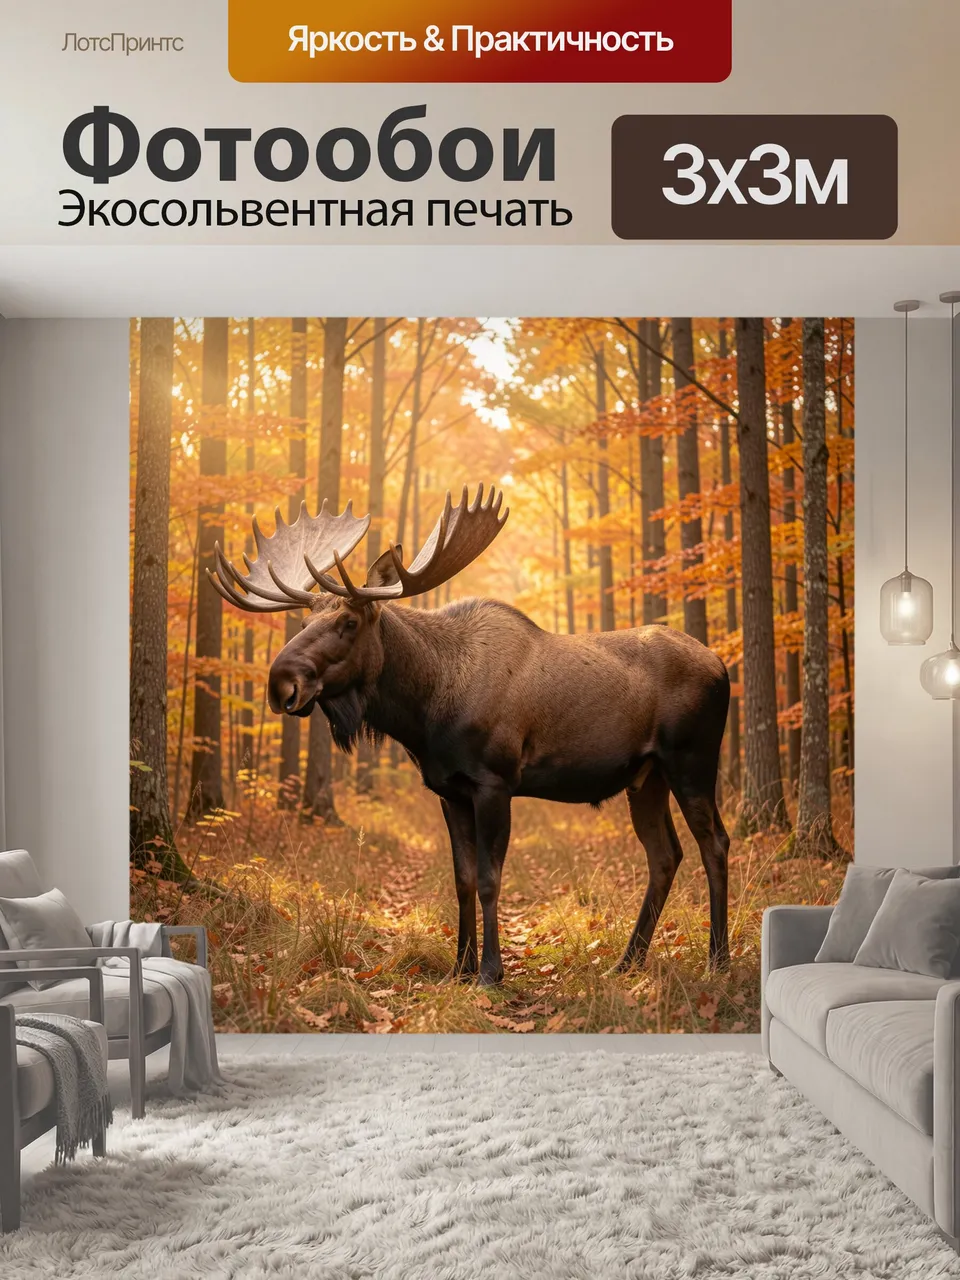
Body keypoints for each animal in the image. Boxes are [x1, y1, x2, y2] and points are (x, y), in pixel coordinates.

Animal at [209, 484, 731, 986]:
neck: (425, 712)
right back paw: (627, 962)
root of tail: (723, 666)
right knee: (665, 855)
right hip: (645, 777)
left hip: (692, 762)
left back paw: (717, 960)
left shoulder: (494, 782)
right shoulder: (449, 790)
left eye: (349, 621)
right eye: (302, 621)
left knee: (715, 844)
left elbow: (489, 879)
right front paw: (459, 968)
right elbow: (461, 880)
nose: (281, 683)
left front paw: (490, 972)